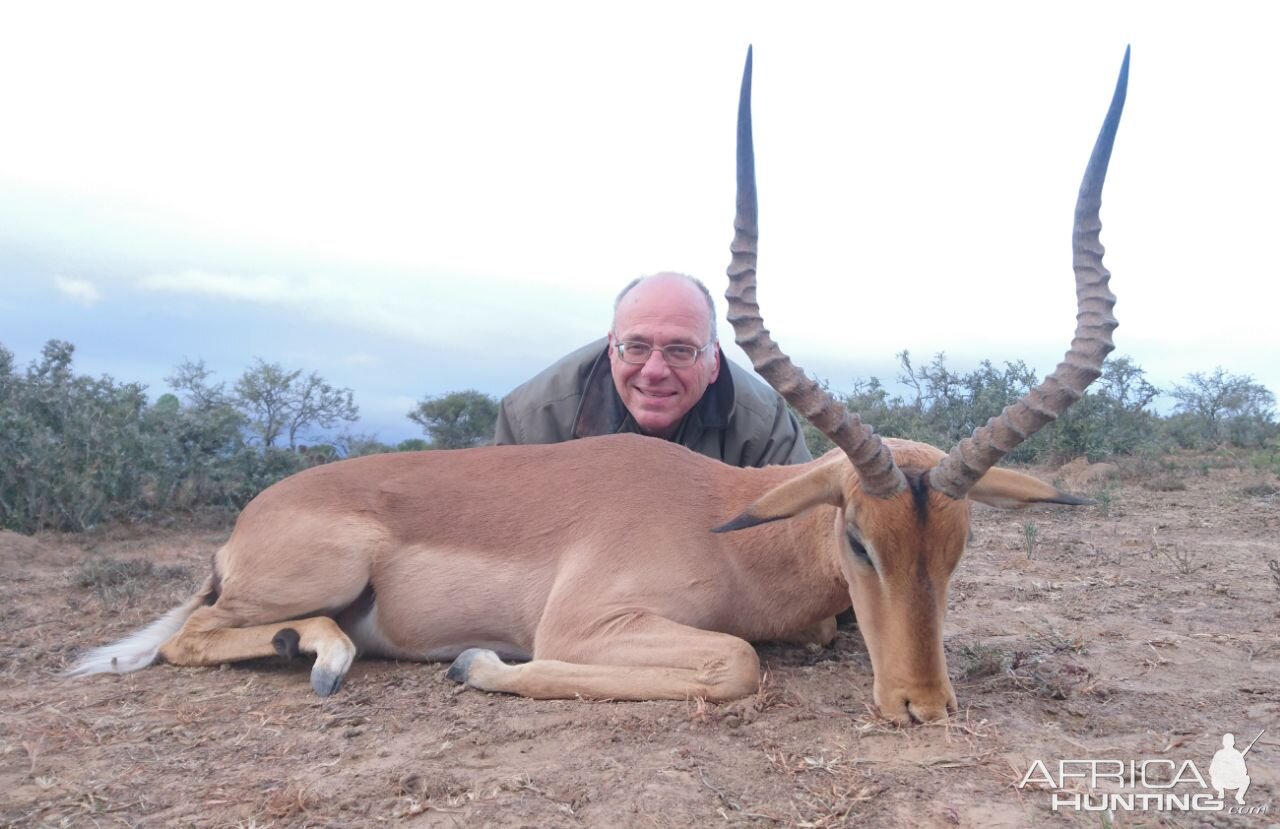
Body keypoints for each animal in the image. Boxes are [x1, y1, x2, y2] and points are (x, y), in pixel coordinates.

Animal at [67, 50, 1131, 726]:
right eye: (859, 539)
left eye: (956, 546)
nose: (922, 704)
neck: (727, 525)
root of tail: (249, 520)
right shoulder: (585, 623)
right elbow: (735, 658)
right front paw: (476, 660)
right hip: (318, 572)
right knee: (189, 634)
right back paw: (321, 653)